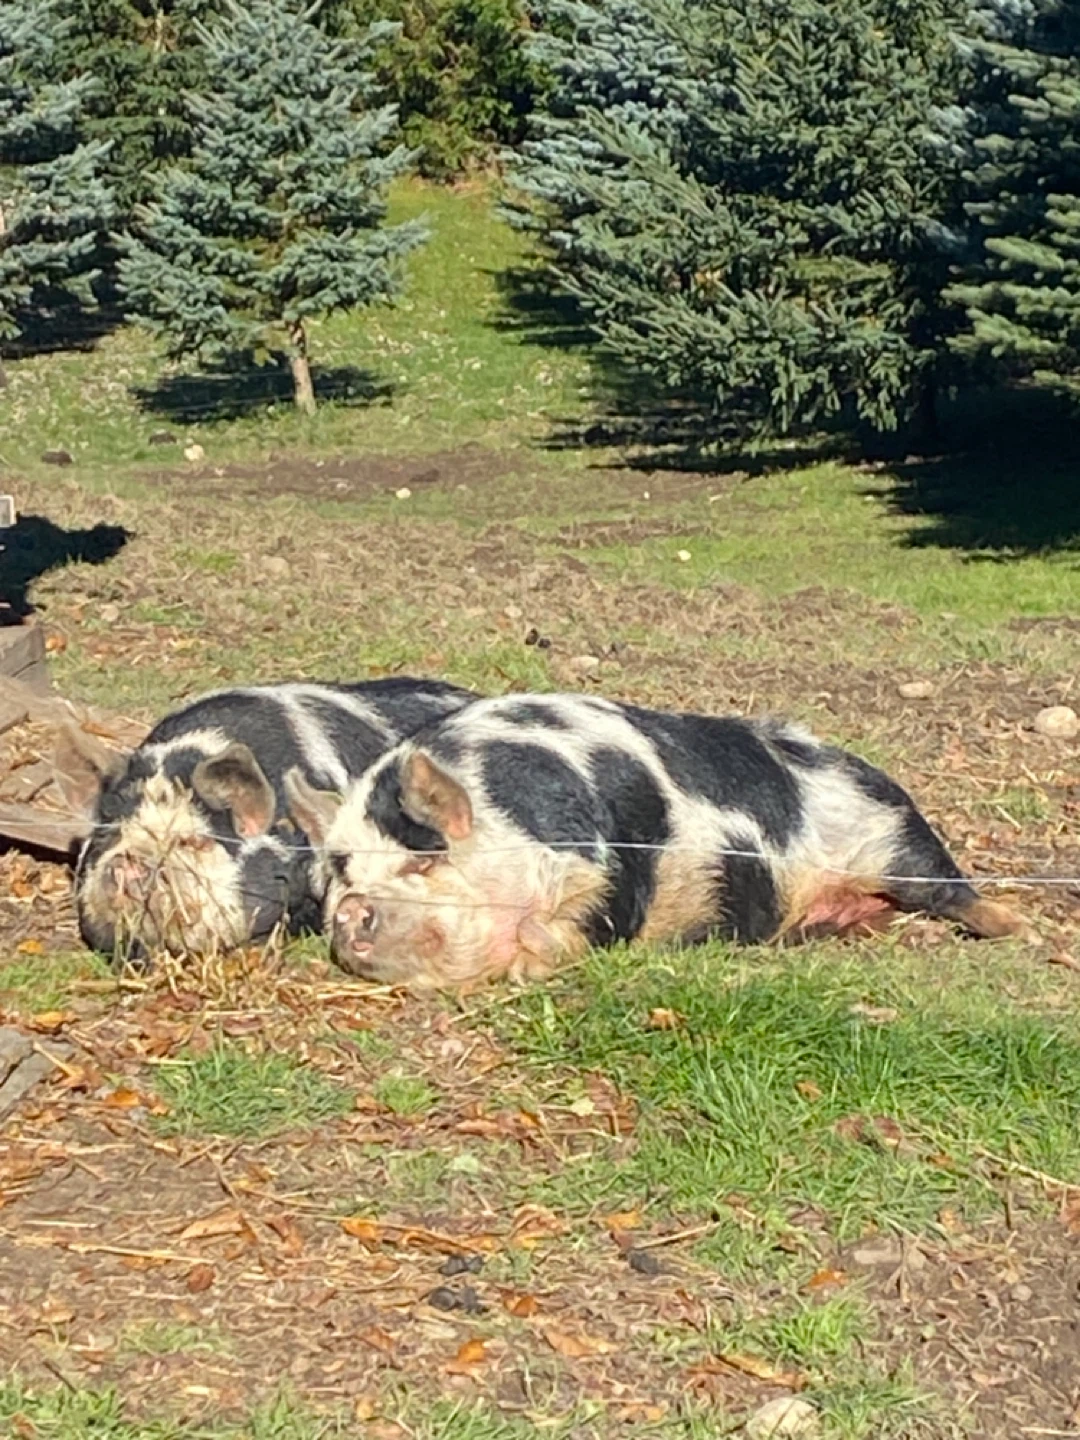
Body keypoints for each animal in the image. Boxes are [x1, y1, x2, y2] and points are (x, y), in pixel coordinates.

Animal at [284, 693, 1028, 990]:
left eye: (425, 858)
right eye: (338, 876)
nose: (354, 911)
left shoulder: (611, 868)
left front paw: (531, 957)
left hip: (896, 834)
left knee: (947, 885)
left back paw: (1016, 928)